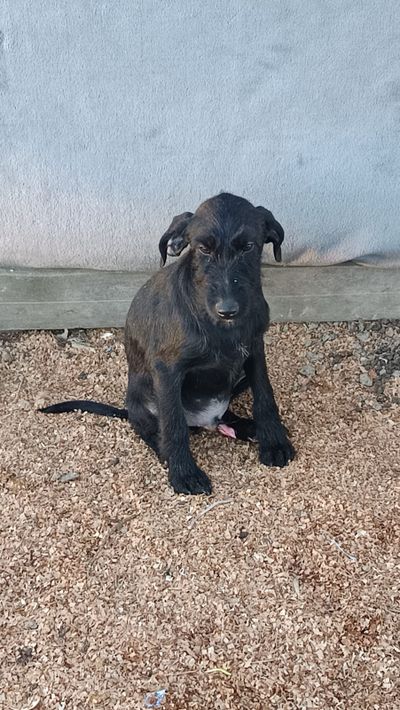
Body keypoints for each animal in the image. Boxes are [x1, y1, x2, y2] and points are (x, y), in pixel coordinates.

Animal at [40, 192, 295, 494]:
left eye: (248, 247)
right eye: (203, 249)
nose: (228, 309)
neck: (218, 327)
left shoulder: (254, 349)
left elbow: (265, 396)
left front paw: (274, 441)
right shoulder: (167, 370)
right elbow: (174, 424)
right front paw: (184, 472)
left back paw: (246, 427)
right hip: (145, 396)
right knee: (150, 427)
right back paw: (165, 450)